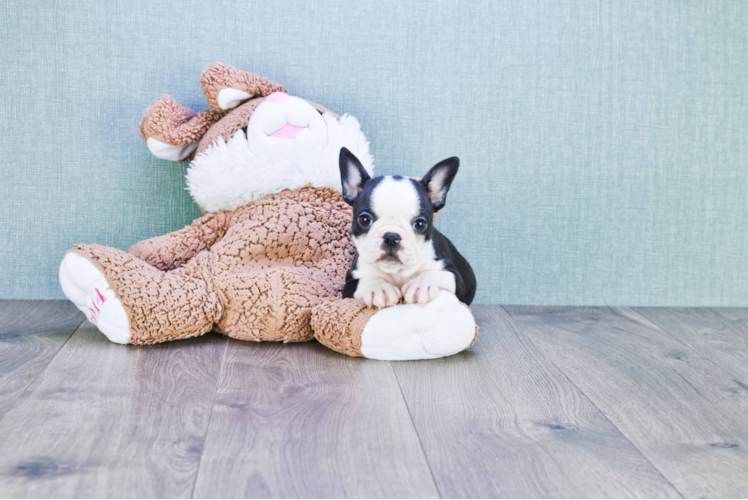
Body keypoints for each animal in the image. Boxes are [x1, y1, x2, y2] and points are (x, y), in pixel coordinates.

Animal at [340, 146, 476, 306]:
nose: (391, 237)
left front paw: (421, 284)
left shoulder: (453, 275)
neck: (397, 271)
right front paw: (379, 288)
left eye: (420, 224)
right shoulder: (350, 282)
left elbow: (436, 273)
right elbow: (367, 280)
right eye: (365, 219)